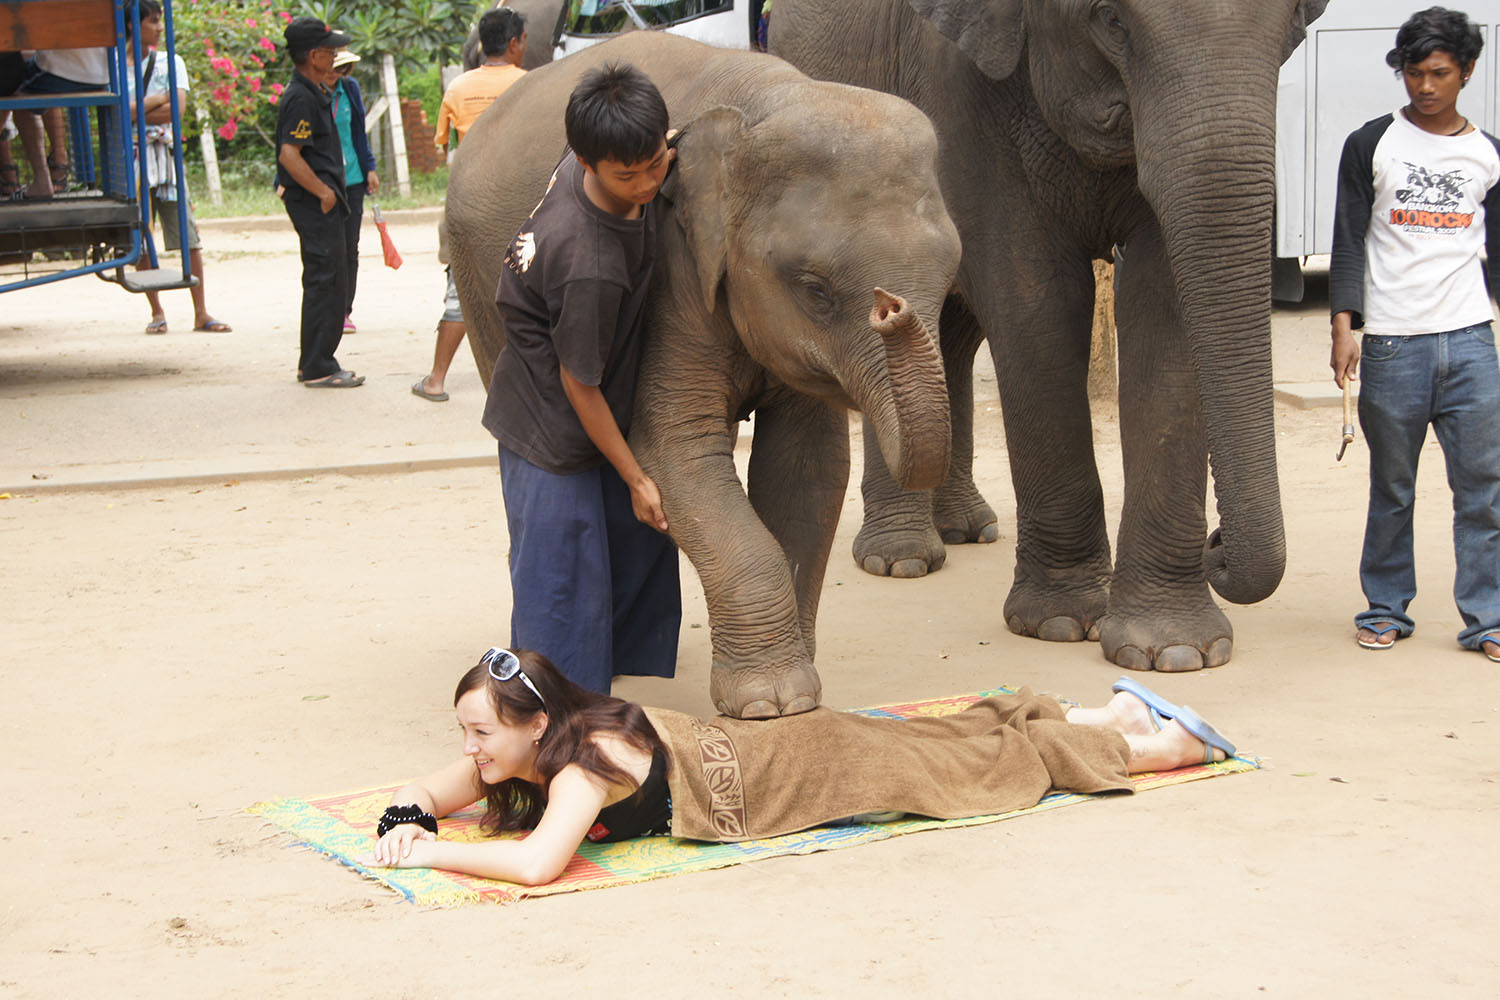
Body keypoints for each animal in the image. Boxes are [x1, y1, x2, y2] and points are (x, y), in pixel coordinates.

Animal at [447, 32, 961, 718]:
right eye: (816, 290)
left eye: (951, 278)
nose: (892, 307)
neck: (765, 102)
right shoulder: (672, 265)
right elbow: (675, 452)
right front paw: (769, 703)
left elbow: (807, 468)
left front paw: (796, 698)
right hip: (480, 283)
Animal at [771, 0, 1328, 672]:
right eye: (1110, 20)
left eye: (1298, 18)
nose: (1216, 546)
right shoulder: (958, 85)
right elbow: (1033, 294)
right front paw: (1060, 625)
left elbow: (1161, 294)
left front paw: (1174, 653)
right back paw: (900, 558)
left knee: (952, 333)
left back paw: (966, 529)